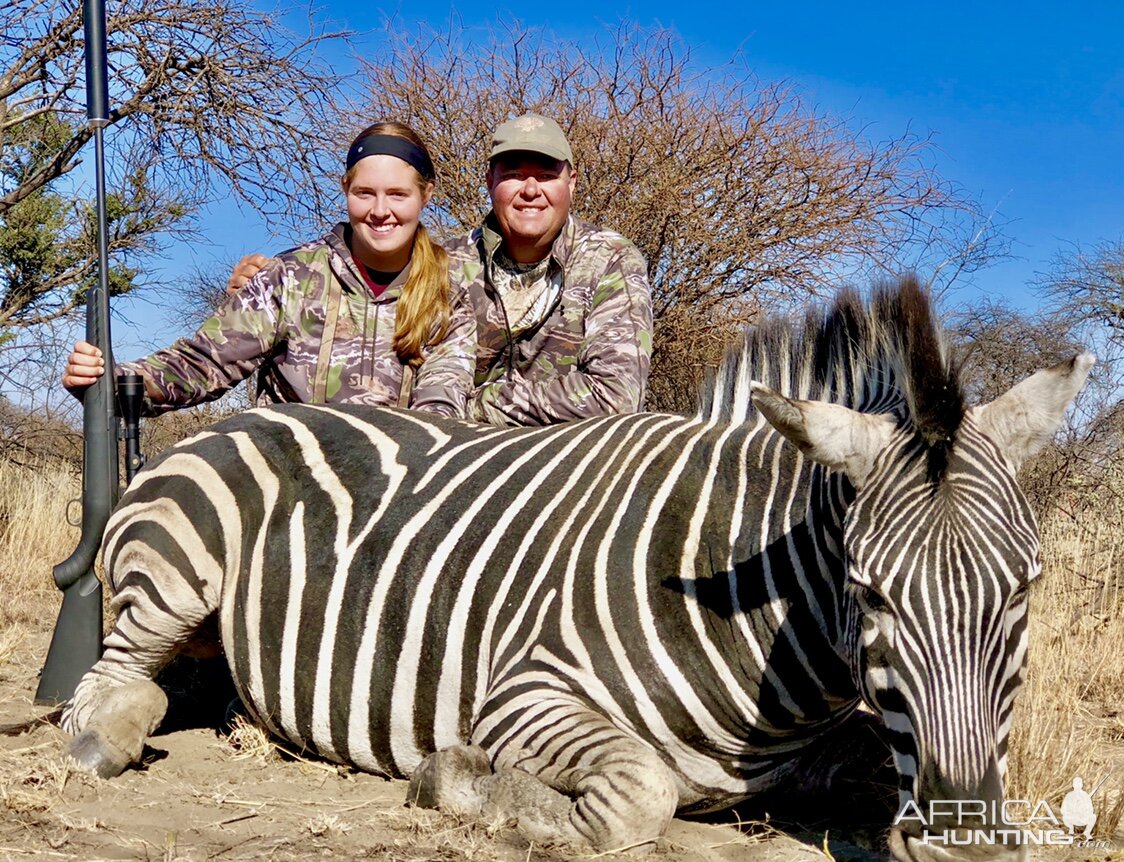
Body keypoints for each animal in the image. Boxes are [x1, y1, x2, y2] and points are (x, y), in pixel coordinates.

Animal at [59, 279, 1088, 858]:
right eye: (868, 592)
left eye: (1026, 588)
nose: (969, 841)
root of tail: (250, 413)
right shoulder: (525, 694)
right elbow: (639, 794)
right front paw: (460, 786)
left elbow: (872, 762)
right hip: (177, 568)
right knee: (111, 678)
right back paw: (104, 737)